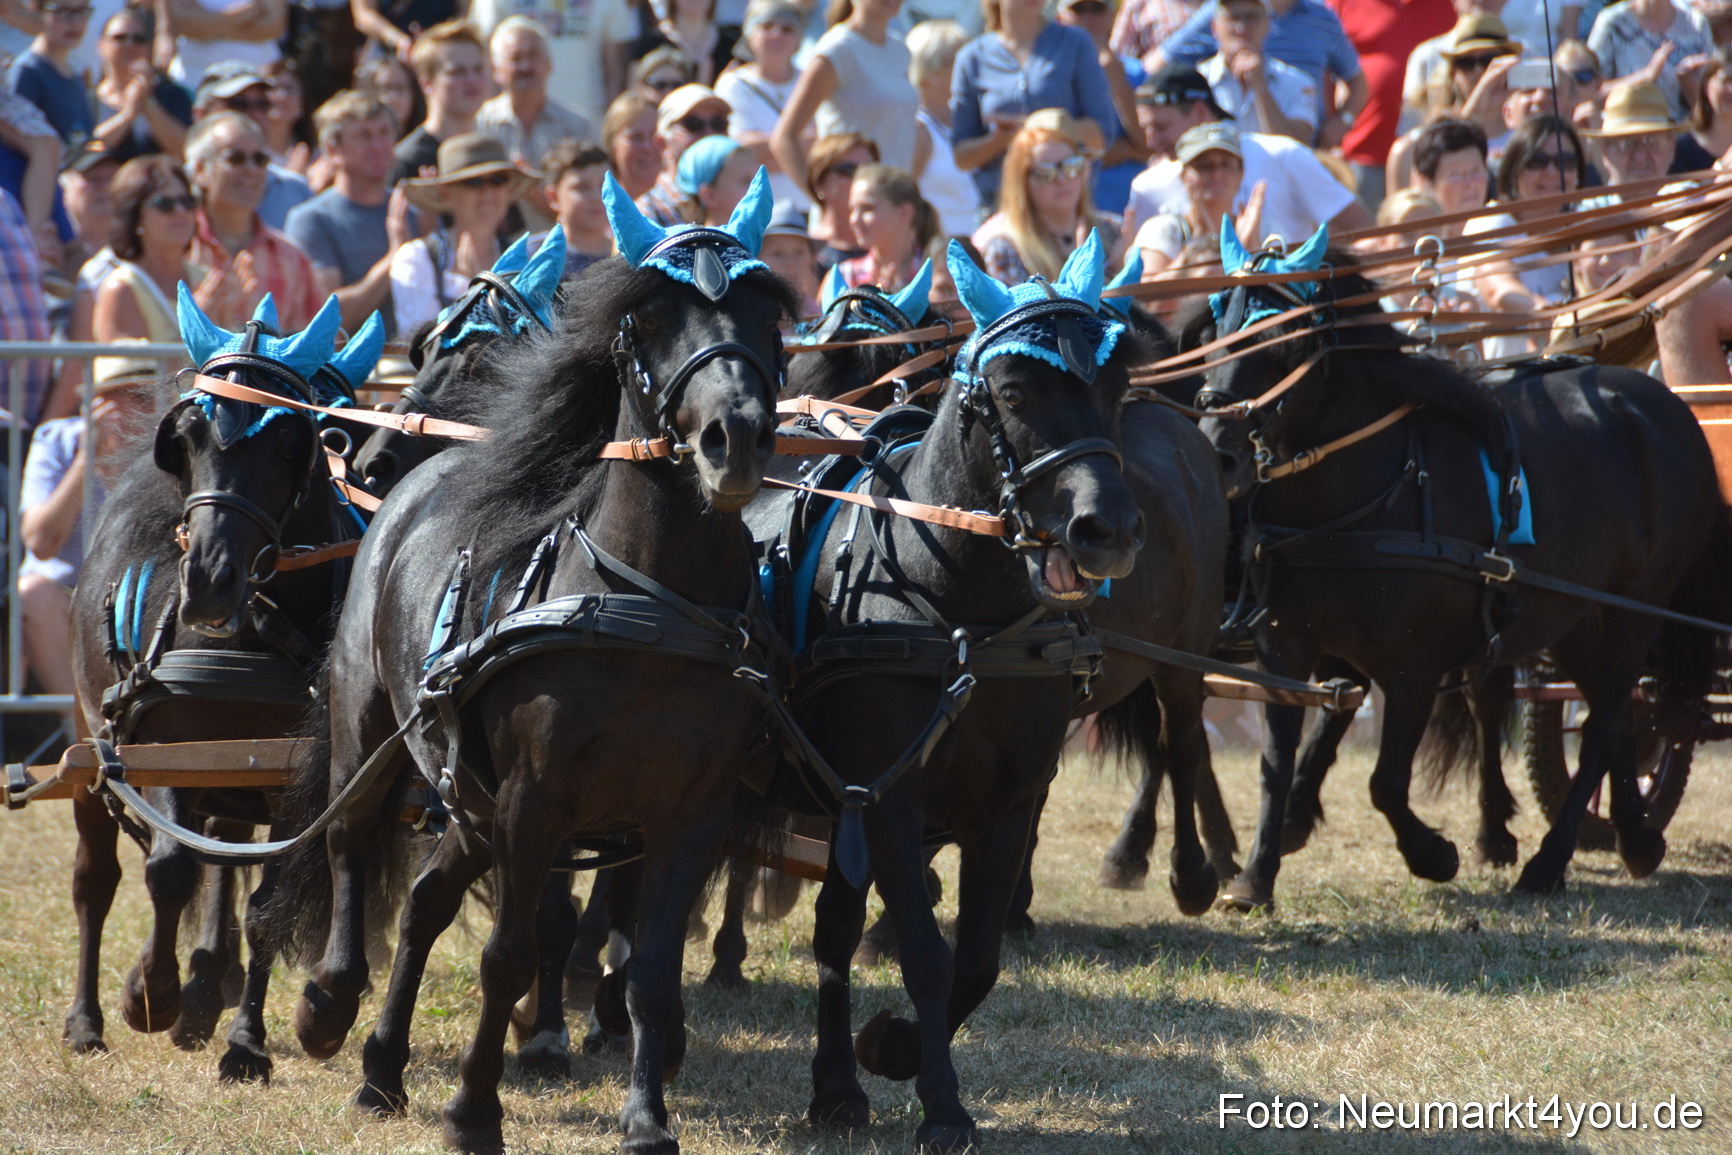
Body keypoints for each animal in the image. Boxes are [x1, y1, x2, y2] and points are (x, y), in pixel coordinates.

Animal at [64, 294, 381, 1083]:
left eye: (289, 443)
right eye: (189, 437)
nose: (207, 578)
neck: (250, 632)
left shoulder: (294, 778)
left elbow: (264, 904)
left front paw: (244, 1041)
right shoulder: (166, 745)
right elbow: (170, 868)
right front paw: (151, 993)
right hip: (90, 745)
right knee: (95, 879)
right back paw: (87, 1020)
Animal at [268, 171, 798, 1154]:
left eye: (767, 312)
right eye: (651, 316)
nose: (735, 437)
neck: (645, 607)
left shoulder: (689, 812)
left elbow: (649, 974)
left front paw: (645, 1116)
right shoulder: (535, 799)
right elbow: (509, 955)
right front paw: (475, 1109)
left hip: (471, 794)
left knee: (428, 898)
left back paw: (382, 1067)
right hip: (377, 729)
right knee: (351, 843)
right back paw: (329, 1004)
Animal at [744, 235, 1144, 1151]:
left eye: (1118, 386)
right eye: (1014, 392)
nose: (1106, 529)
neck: (960, 608)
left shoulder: (1009, 802)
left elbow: (978, 956)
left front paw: (887, 1051)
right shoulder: (891, 797)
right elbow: (926, 954)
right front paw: (943, 1104)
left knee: (834, 928)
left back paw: (835, 1085)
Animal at [1190, 223, 1732, 907]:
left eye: (1282, 340)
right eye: (1215, 329)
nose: (1217, 452)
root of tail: (1666, 404)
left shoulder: (1412, 667)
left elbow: (1385, 782)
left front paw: (1433, 854)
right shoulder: (1287, 649)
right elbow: (1278, 764)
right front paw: (1256, 873)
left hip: (1633, 607)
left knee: (1608, 720)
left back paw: (1550, 862)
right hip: (1572, 616)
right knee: (1606, 714)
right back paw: (1632, 837)